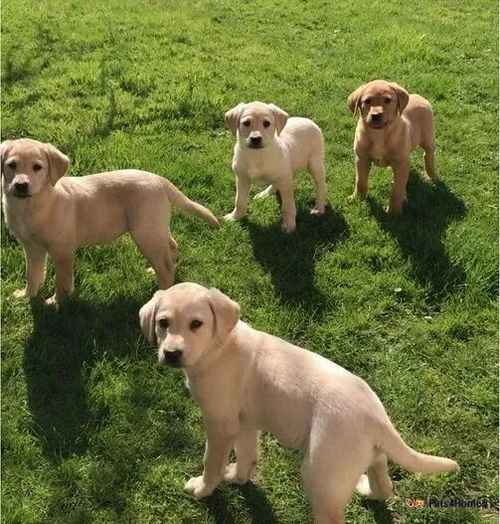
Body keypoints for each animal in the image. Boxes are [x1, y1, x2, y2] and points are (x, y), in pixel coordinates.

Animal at [0, 138, 219, 308]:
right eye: (12, 165)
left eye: (37, 167)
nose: (21, 185)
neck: (31, 205)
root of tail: (160, 180)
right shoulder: (31, 247)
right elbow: (32, 274)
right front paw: (27, 296)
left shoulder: (62, 250)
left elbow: (61, 280)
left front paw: (56, 302)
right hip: (155, 227)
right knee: (170, 248)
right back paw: (157, 270)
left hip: (145, 231)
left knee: (165, 265)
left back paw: (163, 294)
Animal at [140, 282, 458, 524]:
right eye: (163, 323)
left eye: (196, 324)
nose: (171, 353)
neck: (219, 347)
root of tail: (376, 417)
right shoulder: (245, 422)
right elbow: (246, 453)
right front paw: (239, 477)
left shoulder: (220, 424)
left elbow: (211, 461)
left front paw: (203, 487)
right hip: (370, 457)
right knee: (385, 485)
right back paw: (367, 490)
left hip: (320, 474)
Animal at [224, 101, 326, 232]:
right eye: (246, 123)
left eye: (266, 123)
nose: (255, 139)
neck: (257, 155)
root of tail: (308, 120)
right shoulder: (242, 178)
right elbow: (239, 201)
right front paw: (235, 217)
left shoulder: (285, 181)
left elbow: (288, 206)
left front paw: (289, 224)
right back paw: (264, 194)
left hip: (315, 164)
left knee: (321, 186)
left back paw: (319, 207)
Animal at [348, 79, 438, 214]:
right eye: (367, 101)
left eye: (387, 100)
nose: (376, 115)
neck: (379, 134)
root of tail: (419, 96)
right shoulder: (362, 159)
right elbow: (360, 181)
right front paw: (357, 198)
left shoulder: (401, 163)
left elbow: (397, 190)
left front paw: (394, 212)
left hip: (427, 138)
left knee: (429, 155)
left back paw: (431, 175)